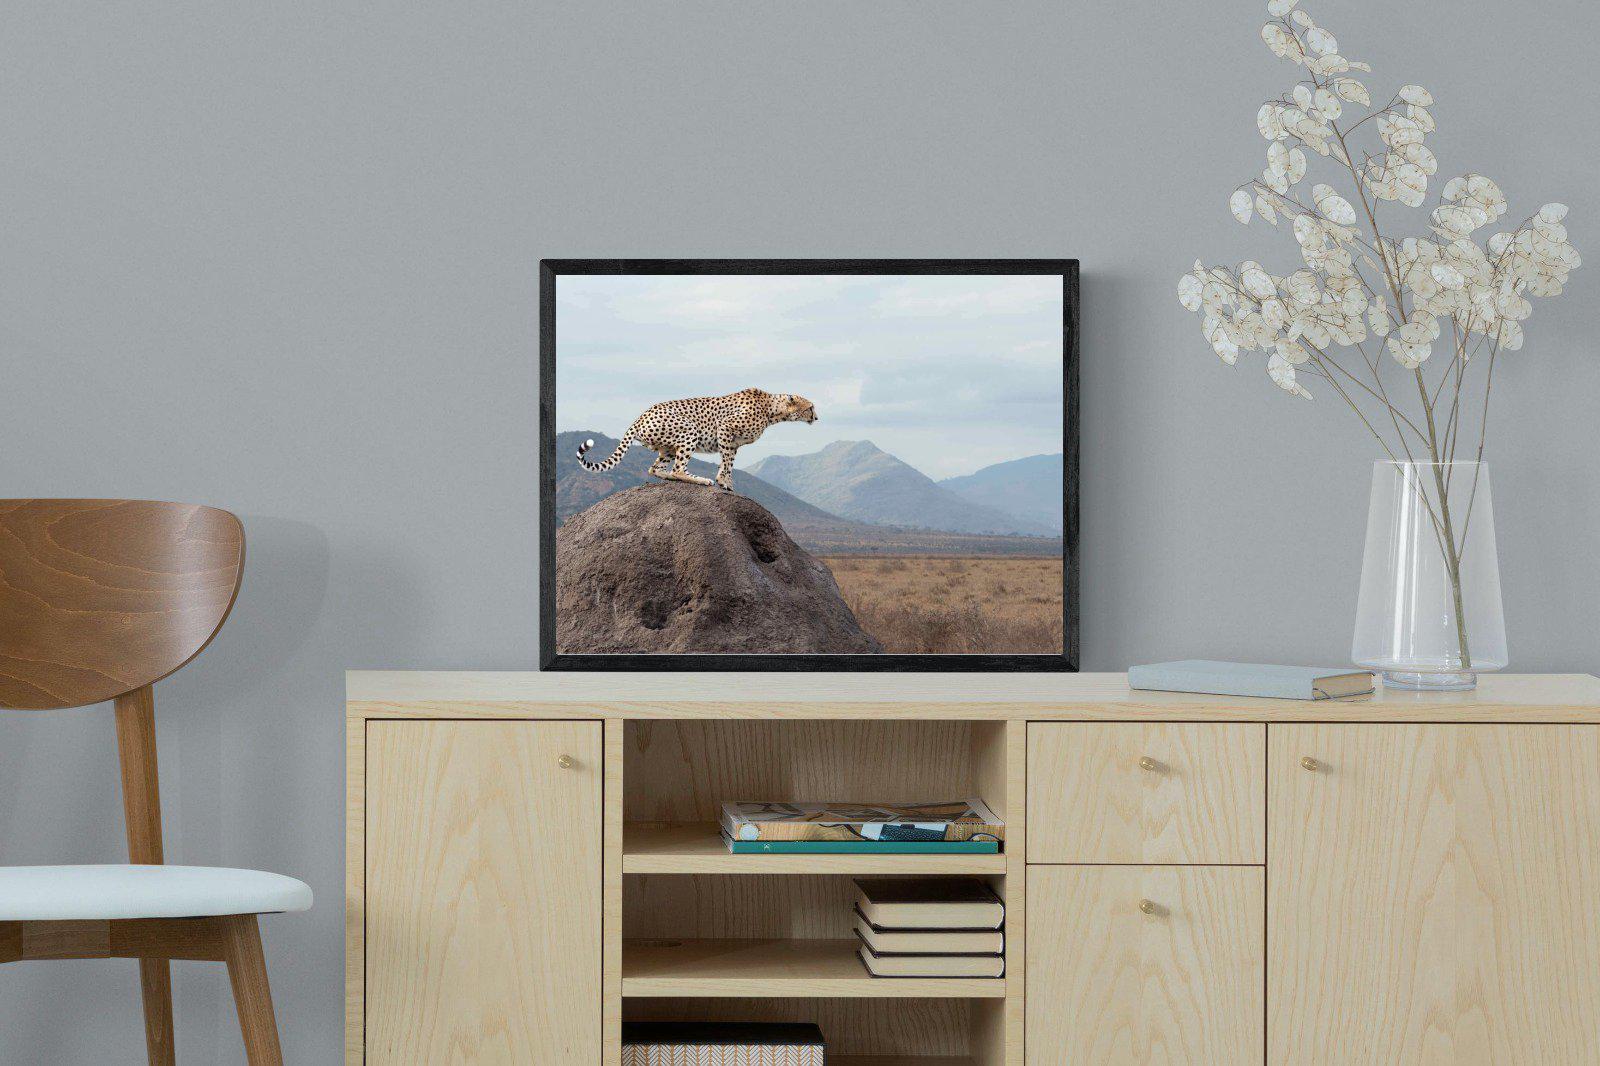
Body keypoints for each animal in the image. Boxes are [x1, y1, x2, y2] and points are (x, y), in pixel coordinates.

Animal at [575, 387, 818, 491]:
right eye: (811, 407)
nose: (817, 417)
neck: (771, 410)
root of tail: (641, 415)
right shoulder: (725, 429)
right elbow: (726, 462)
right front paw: (722, 481)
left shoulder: (734, 443)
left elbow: (729, 463)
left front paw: (727, 482)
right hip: (689, 430)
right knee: (678, 469)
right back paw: (700, 479)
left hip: (667, 448)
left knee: (656, 468)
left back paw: (670, 477)